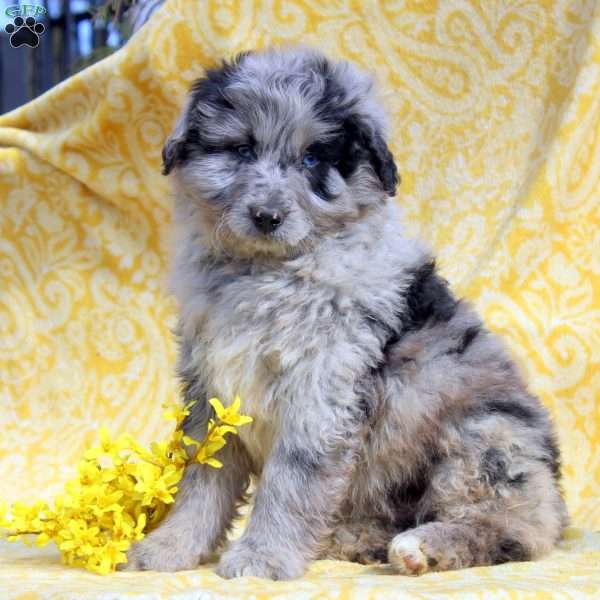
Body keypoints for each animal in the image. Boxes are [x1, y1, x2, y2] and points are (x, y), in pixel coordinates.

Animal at [126, 48, 568, 580]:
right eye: (242, 150)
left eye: (313, 159)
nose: (267, 217)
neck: (268, 272)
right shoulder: (211, 387)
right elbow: (202, 477)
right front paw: (172, 546)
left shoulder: (321, 390)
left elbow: (290, 480)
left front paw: (262, 556)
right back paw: (352, 539)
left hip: (487, 437)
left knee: (513, 528)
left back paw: (420, 547)